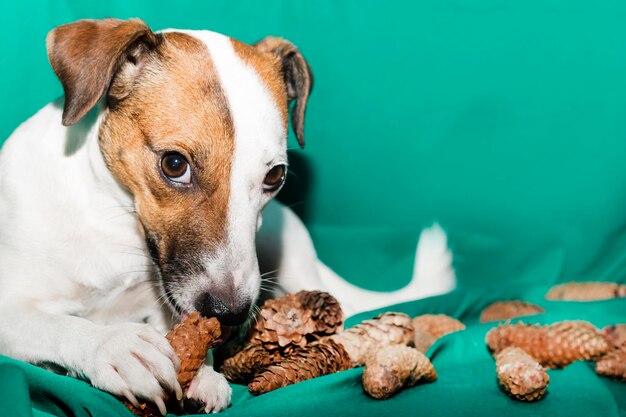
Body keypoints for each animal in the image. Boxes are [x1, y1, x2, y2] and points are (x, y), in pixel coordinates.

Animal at [0, 17, 454, 412]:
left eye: (275, 175)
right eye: (174, 165)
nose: (230, 313)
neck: (115, 222)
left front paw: (201, 373)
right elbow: (56, 325)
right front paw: (111, 345)